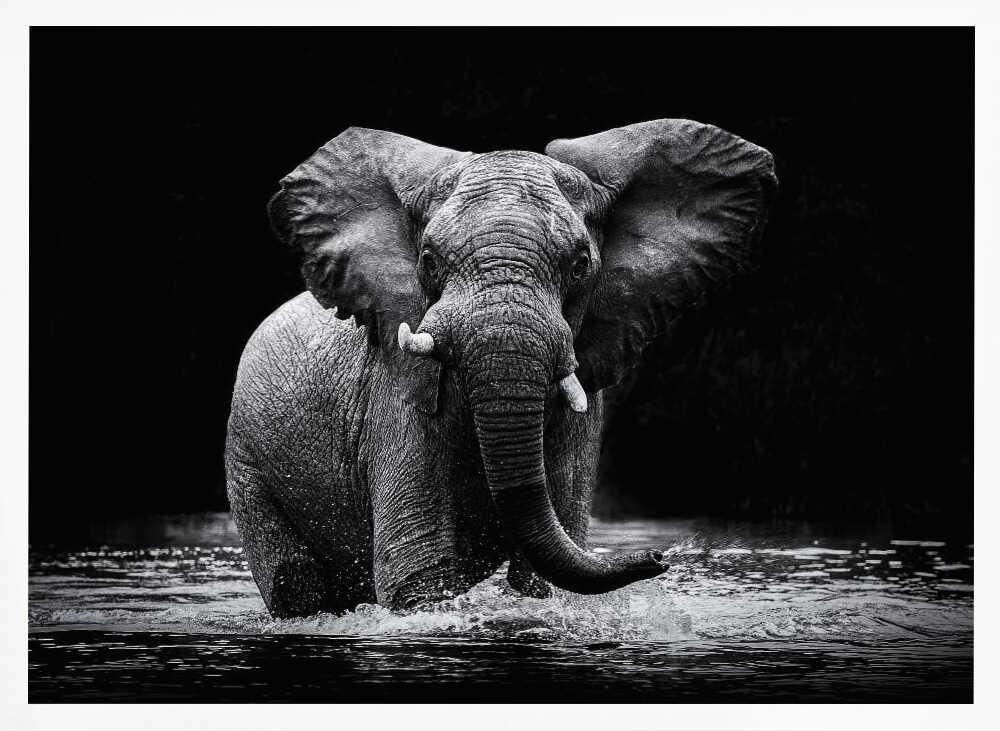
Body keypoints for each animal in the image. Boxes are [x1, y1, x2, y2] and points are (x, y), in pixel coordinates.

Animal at [225, 119, 777, 617]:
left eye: (580, 264)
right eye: (428, 260)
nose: (661, 557)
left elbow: (542, 578)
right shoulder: (397, 396)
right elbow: (418, 575)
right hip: (245, 459)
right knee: (294, 586)